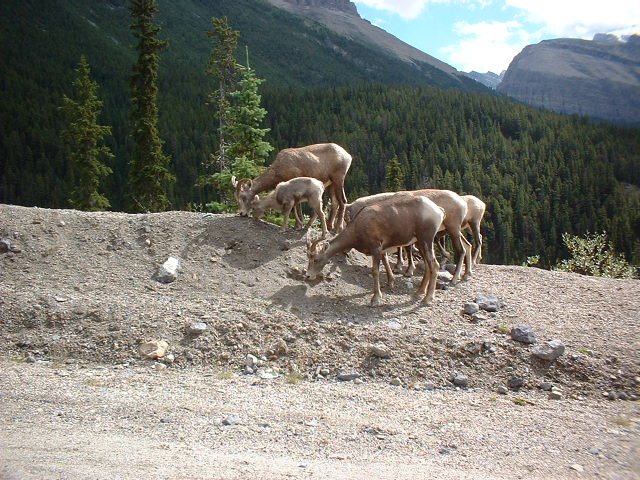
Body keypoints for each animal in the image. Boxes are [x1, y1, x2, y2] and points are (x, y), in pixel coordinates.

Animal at [306, 195, 444, 308]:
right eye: (308, 258)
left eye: (316, 259)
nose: (308, 275)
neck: (359, 225)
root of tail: (438, 210)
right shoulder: (382, 250)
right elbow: (386, 263)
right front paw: (390, 282)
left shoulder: (375, 248)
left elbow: (375, 271)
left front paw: (375, 299)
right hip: (420, 243)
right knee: (428, 266)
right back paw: (419, 292)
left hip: (426, 240)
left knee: (434, 265)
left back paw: (427, 299)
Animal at [344, 188, 476, 284]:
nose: (346, 250)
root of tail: (463, 203)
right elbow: (402, 248)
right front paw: (399, 267)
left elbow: (407, 250)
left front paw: (407, 271)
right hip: (456, 231)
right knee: (468, 245)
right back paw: (466, 275)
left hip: (453, 230)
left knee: (461, 250)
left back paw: (454, 279)